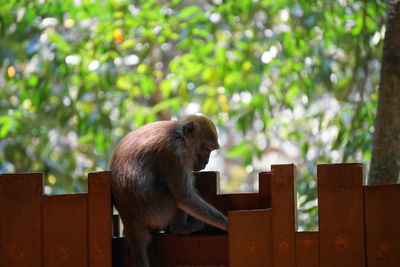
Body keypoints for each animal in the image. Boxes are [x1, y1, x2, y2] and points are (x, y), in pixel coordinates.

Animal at [109, 115, 228, 267]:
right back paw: (180, 228)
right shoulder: (175, 153)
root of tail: (132, 223)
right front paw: (227, 224)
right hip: (157, 211)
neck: (179, 135)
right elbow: (184, 197)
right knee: (174, 196)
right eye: (207, 149)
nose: (206, 162)